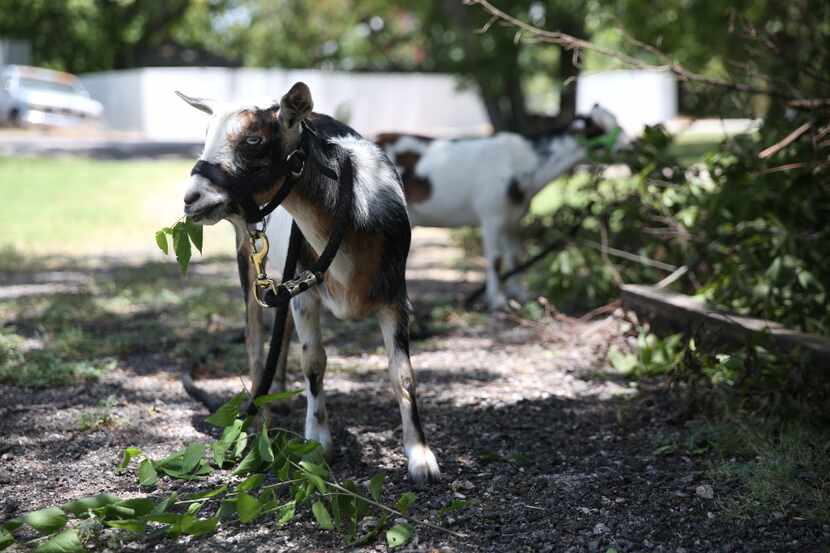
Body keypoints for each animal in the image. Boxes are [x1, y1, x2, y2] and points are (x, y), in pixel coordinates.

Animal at [378, 105, 632, 308]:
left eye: (617, 122)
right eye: (599, 129)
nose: (631, 146)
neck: (524, 163)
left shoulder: (513, 218)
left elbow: (515, 257)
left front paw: (520, 293)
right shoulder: (492, 216)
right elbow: (495, 259)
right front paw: (497, 301)